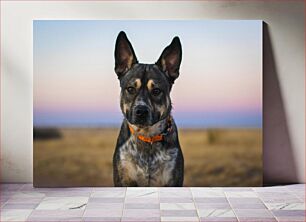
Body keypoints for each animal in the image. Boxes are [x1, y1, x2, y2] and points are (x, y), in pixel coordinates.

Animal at [113, 31, 183, 186]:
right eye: (130, 89)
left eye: (156, 91)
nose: (141, 111)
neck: (147, 137)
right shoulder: (123, 179)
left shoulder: (173, 181)